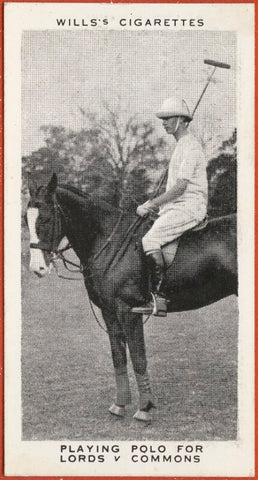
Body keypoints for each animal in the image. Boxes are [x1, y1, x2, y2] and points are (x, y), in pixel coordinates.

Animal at [27, 174, 237, 422]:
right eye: (26, 219)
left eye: (46, 218)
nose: (37, 268)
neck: (108, 243)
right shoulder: (109, 312)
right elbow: (118, 357)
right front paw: (119, 405)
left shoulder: (130, 311)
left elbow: (138, 357)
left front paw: (145, 408)